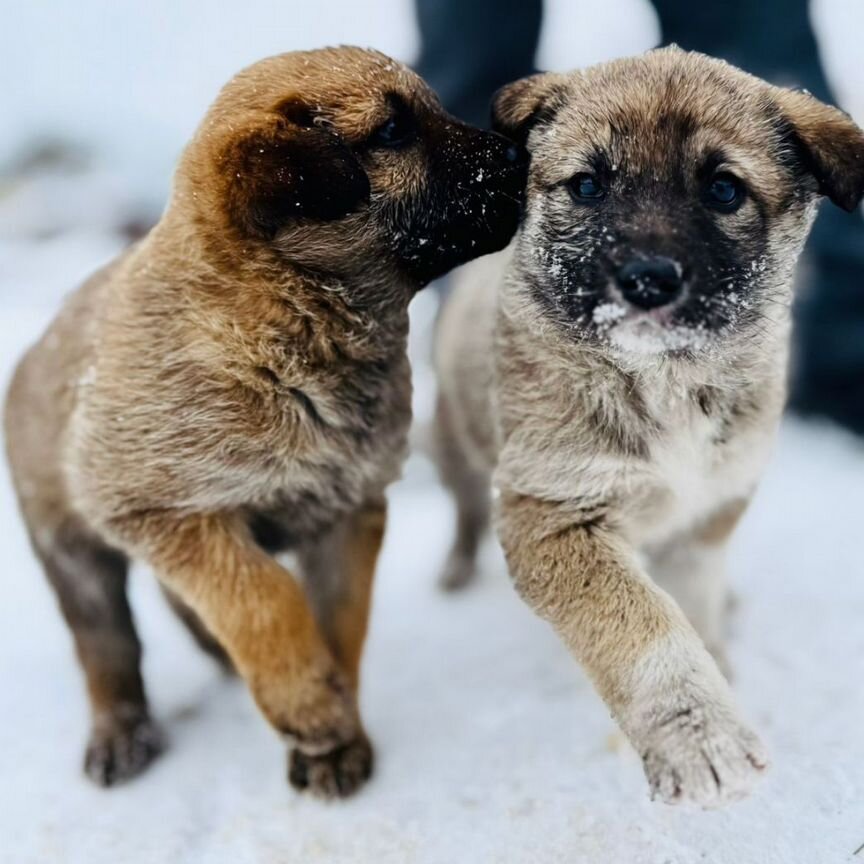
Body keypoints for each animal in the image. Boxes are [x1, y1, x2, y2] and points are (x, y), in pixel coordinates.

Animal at [5, 47, 528, 796]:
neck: (278, 331)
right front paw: (311, 711)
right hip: (71, 548)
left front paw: (335, 733)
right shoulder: (169, 515)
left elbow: (338, 622)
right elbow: (264, 598)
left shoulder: (349, 510)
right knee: (107, 645)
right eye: (393, 131)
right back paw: (122, 735)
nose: (524, 151)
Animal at [436, 45, 864, 804]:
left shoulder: (710, 508)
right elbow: (641, 624)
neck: (667, 382)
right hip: (453, 445)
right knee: (462, 510)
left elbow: (690, 598)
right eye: (587, 185)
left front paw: (716, 666)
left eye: (723, 190)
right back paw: (455, 571)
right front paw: (702, 739)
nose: (645, 280)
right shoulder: (553, 512)